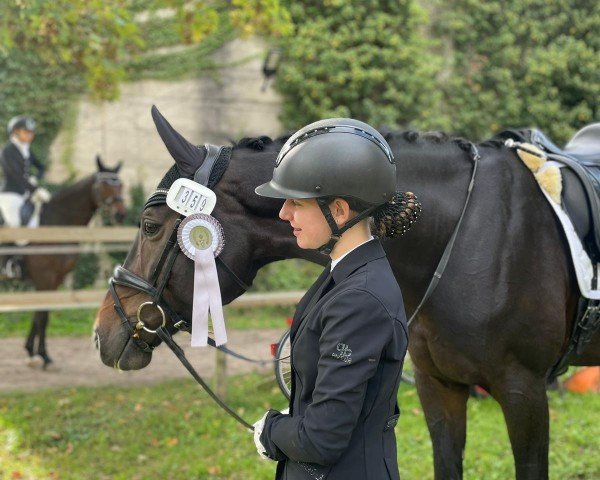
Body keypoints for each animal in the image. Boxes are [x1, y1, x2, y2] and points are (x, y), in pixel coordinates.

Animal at [22, 157, 126, 368]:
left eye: (120, 185)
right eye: (103, 185)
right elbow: (42, 316)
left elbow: (40, 314)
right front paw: (43, 355)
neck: (57, 223)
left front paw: (32, 351)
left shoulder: (53, 280)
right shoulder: (44, 278)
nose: (120, 214)